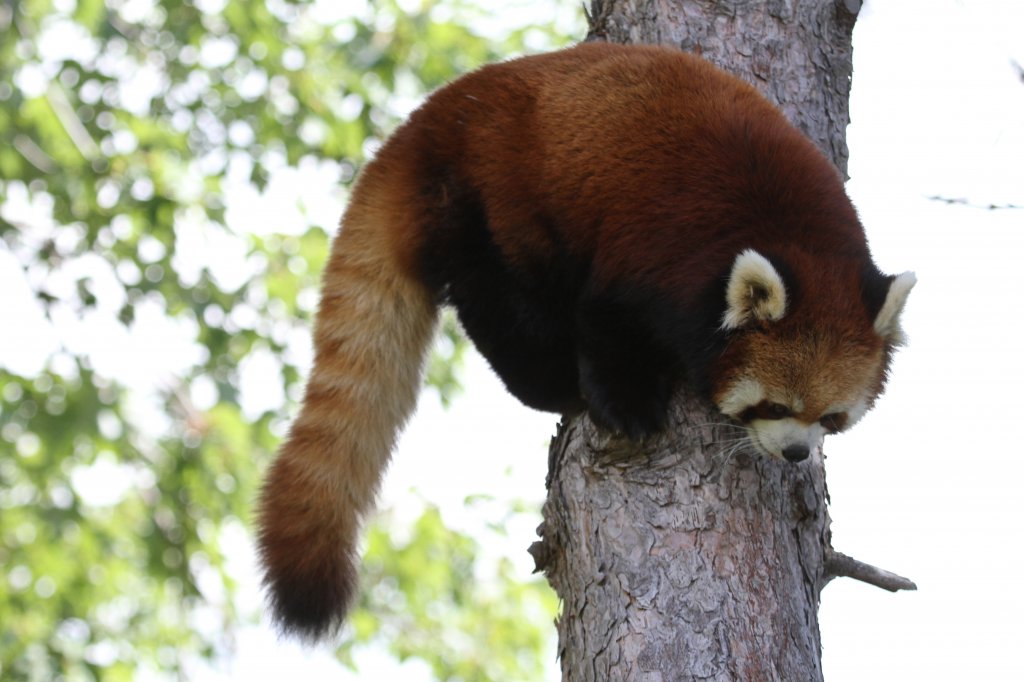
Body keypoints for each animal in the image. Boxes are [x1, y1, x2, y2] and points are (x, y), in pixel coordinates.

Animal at [260, 41, 917, 638]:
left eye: (831, 417)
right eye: (774, 406)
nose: (797, 453)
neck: (796, 237)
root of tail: (429, 120)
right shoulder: (656, 250)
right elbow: (605, 321)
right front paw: (628, 406)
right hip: (491, 197)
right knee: (497, 296)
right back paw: (551, 384)